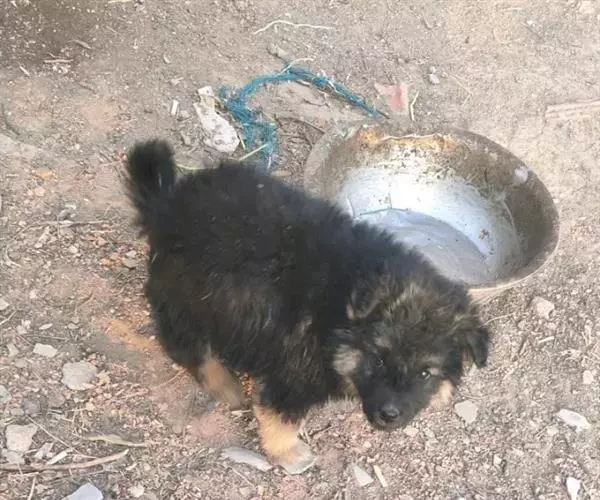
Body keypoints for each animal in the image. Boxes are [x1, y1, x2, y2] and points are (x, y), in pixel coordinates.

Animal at [125, 139, 490, 474]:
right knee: (187, 346)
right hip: (187, 298)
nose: (389, 416)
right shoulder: (294, 374)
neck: (340, 310)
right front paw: (287, 452)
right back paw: (223, 384)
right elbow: (281, 417)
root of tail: (166, 204)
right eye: (377, 360)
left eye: (426, 373)